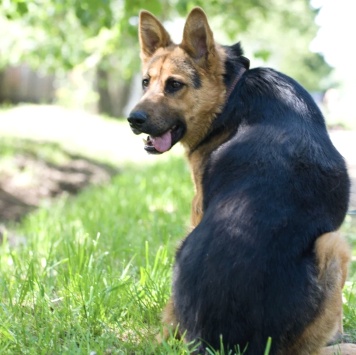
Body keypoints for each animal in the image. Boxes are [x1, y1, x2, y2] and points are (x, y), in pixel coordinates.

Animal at [126, 6, 354, 355]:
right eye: (145, 82)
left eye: (174, 85)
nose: (133, 120)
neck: (230, 91)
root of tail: (216, 344)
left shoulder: (196, 210)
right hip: (335, 246)